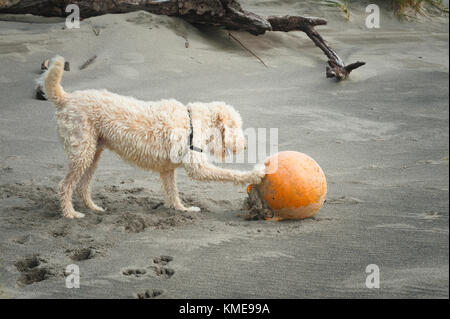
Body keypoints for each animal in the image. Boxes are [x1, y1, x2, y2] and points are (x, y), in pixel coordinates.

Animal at [39, 56, 264, 219]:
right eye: (236, 126)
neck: (193, 121)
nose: (245, 147)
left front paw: (182, 209)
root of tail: (65, 99)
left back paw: (93, 208)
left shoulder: (167, 170)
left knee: (82, 186)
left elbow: (173, 192)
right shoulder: (197, 168)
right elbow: (230, 173)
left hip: (93, 152)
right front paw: (255, 174)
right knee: (65, 186)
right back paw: (70, 214)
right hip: (82, 152)